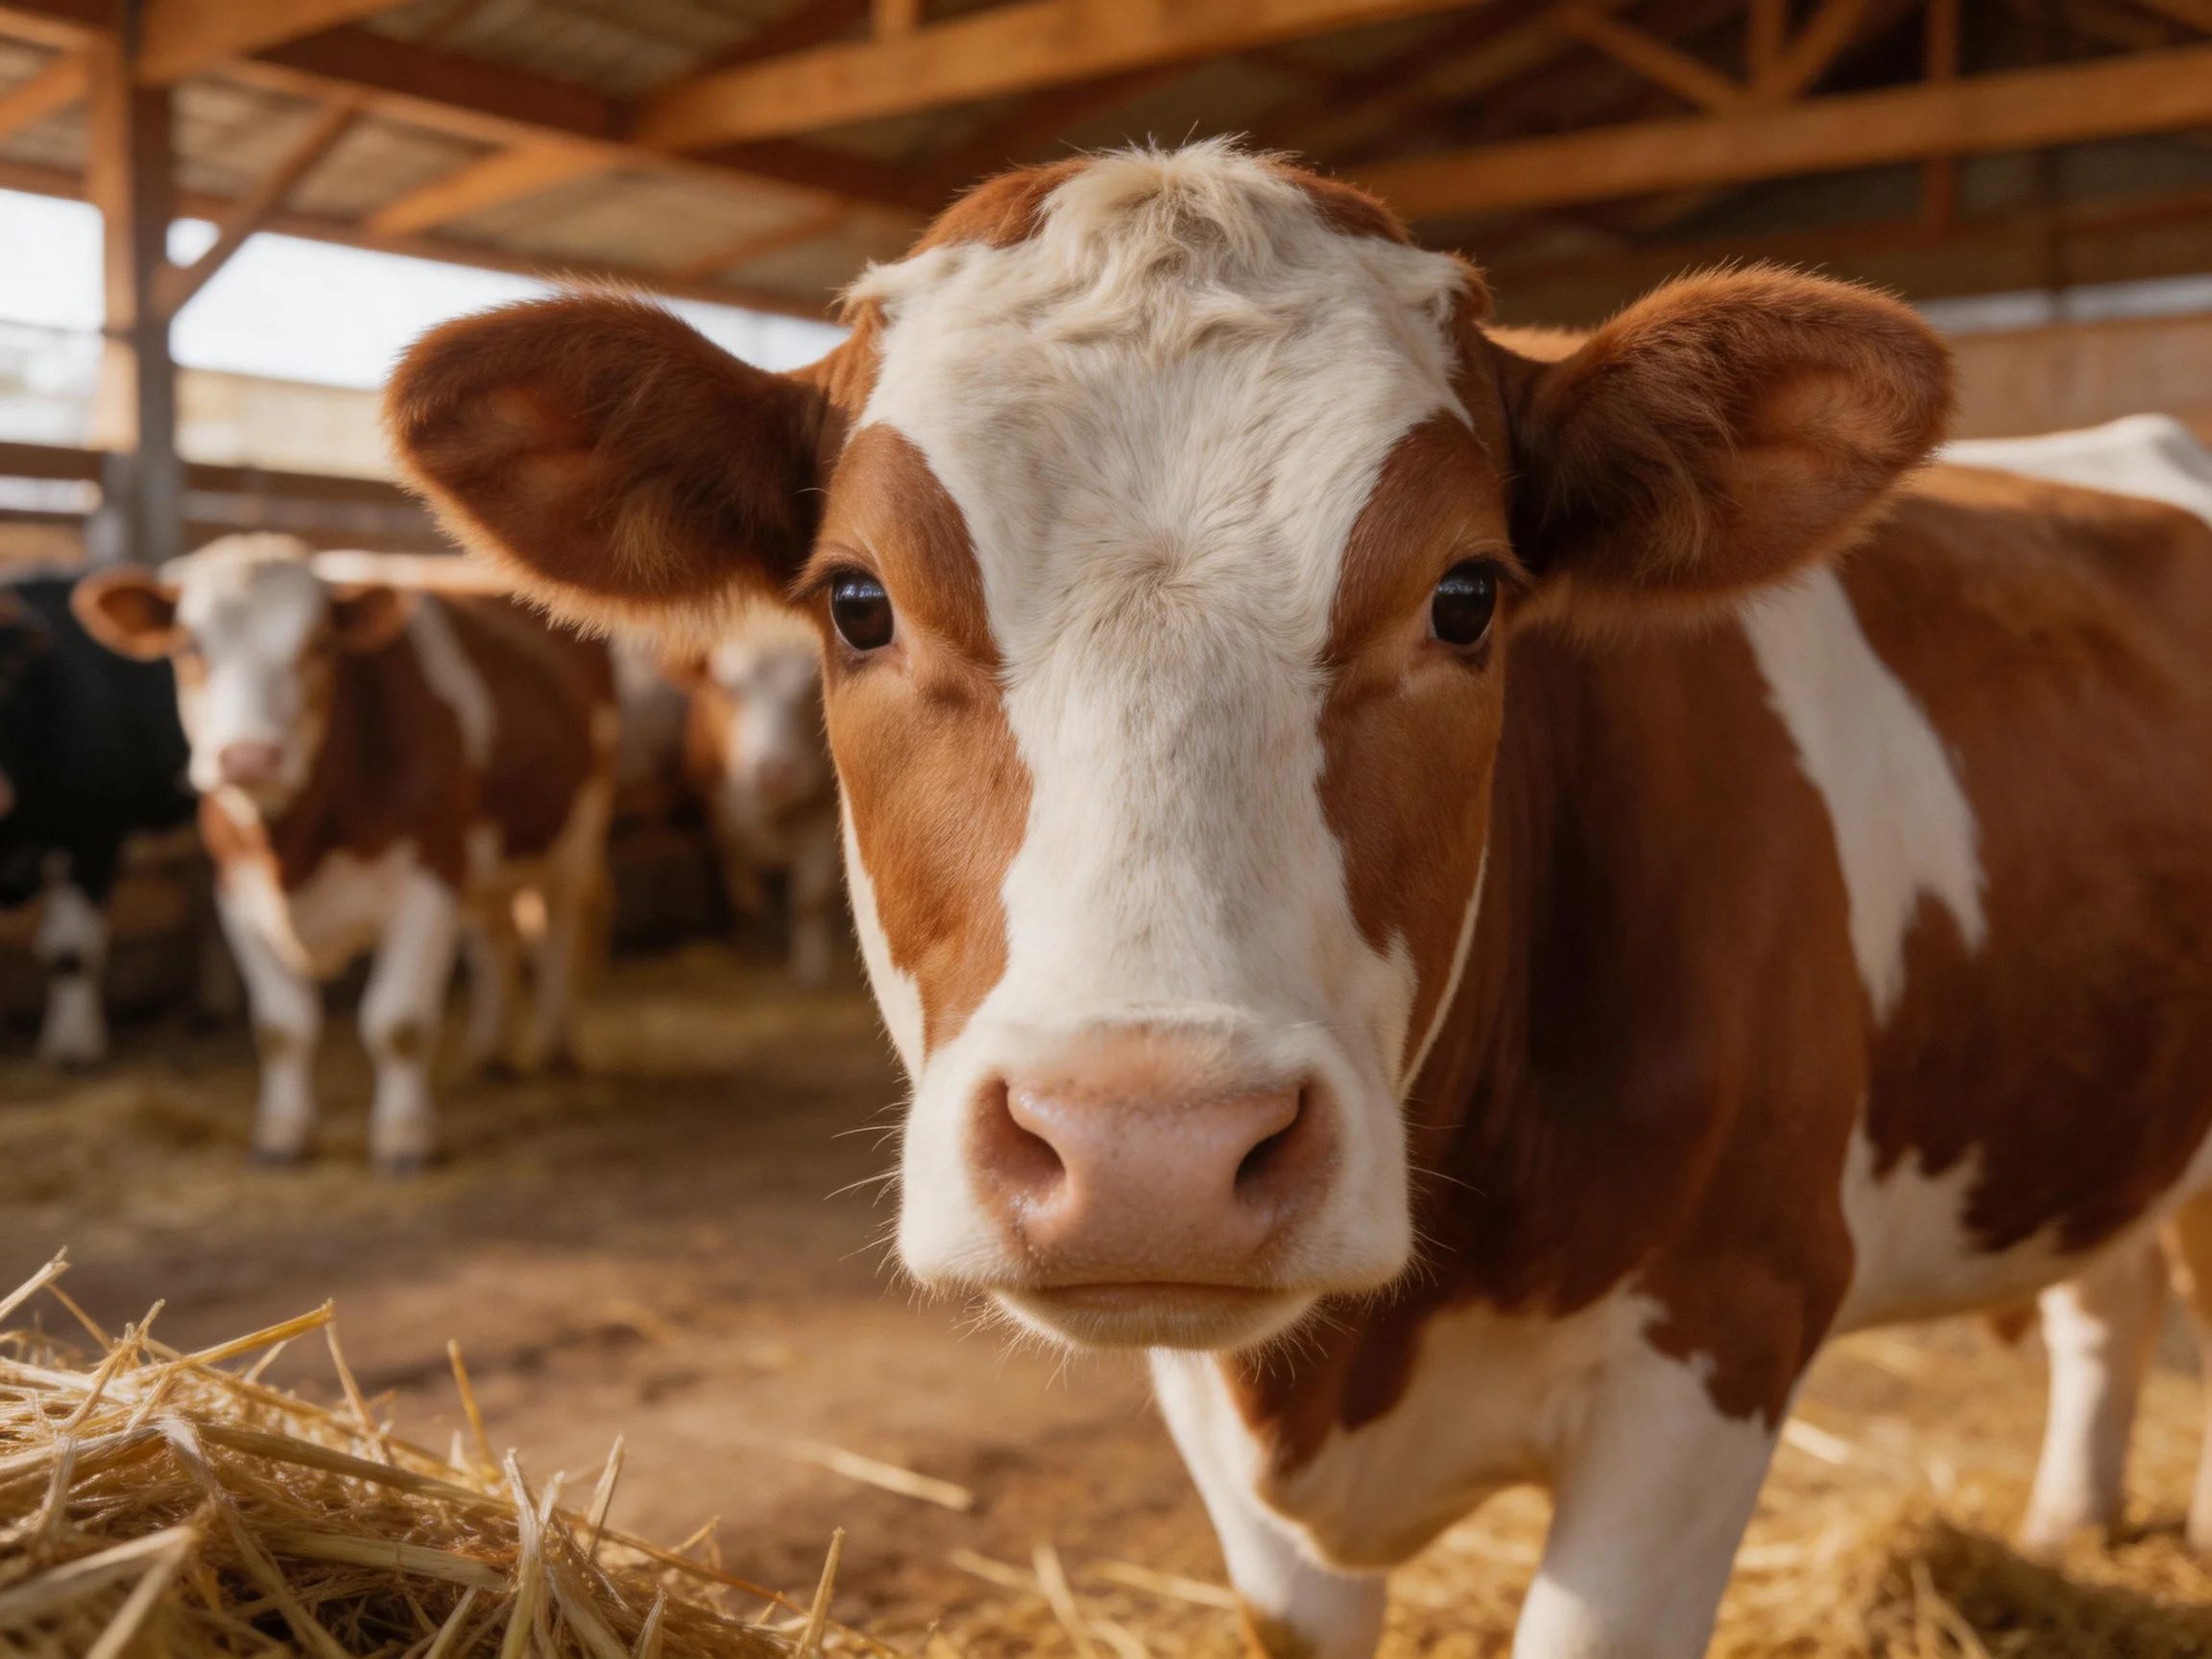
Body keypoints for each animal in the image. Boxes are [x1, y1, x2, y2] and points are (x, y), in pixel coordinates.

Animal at [74, 534, 617, 1173]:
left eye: (319, 645)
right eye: (187, 644)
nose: (248, 758)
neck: (295, 840)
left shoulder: (430, 874)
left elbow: (398, 1022)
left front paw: (404, 1138)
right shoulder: (238, 892)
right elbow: (281, 1027)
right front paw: (281, 1135)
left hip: (575, 834)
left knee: (556, 930)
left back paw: (559, 1047)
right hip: (488, 859)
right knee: (495, 938)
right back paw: (494, 1052)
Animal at [671, 603, 841, 984]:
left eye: (812, 686)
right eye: (727, 688)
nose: (774, 770)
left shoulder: (821, 820)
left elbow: (810, 898)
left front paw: (810, 969)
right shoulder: (721, 821)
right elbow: (747, 899)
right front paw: (758, 954)